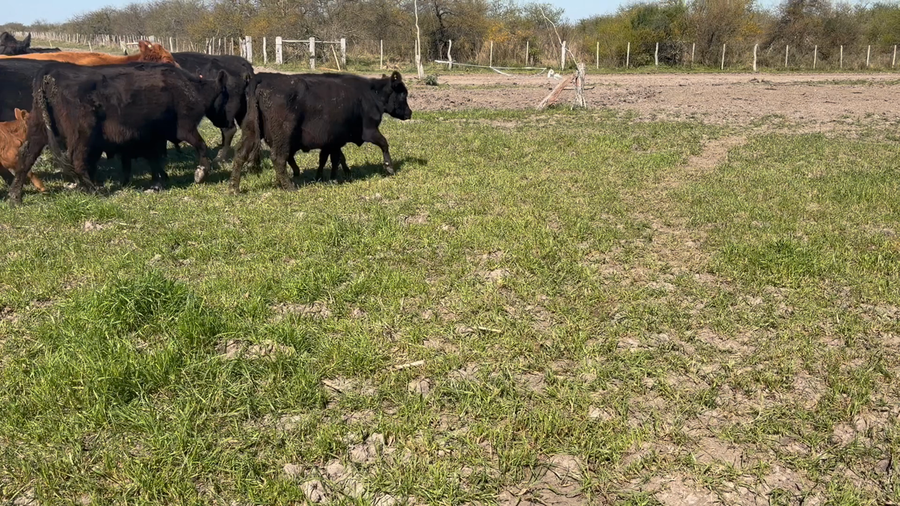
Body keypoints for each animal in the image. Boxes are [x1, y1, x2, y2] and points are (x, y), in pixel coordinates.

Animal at [7, 62, 229, 205]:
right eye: (226, 96)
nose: (228, 122)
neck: (190, 88)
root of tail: (51, 70)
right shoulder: (184, 127)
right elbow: (201, 146)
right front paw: (201, 173)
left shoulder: (152, 136)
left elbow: (154, 158)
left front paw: (158, 181)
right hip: (82, 134)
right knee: (76, 160)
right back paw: (94, 190)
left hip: (38, 130)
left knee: (26, 158)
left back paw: (15, 197)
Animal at [229, 71, 412, 192]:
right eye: (403, 94)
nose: (410, 113)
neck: (371, 93)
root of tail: (264, 77)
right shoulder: (369, 130)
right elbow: (384, 143)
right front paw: (389, 167)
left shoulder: (333, 140)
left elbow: (331, 158)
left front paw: (329, 177)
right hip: (283, 135)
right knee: (278, 158)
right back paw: (289, 186)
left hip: (250, 130)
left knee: (240, 155)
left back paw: (234, 188)